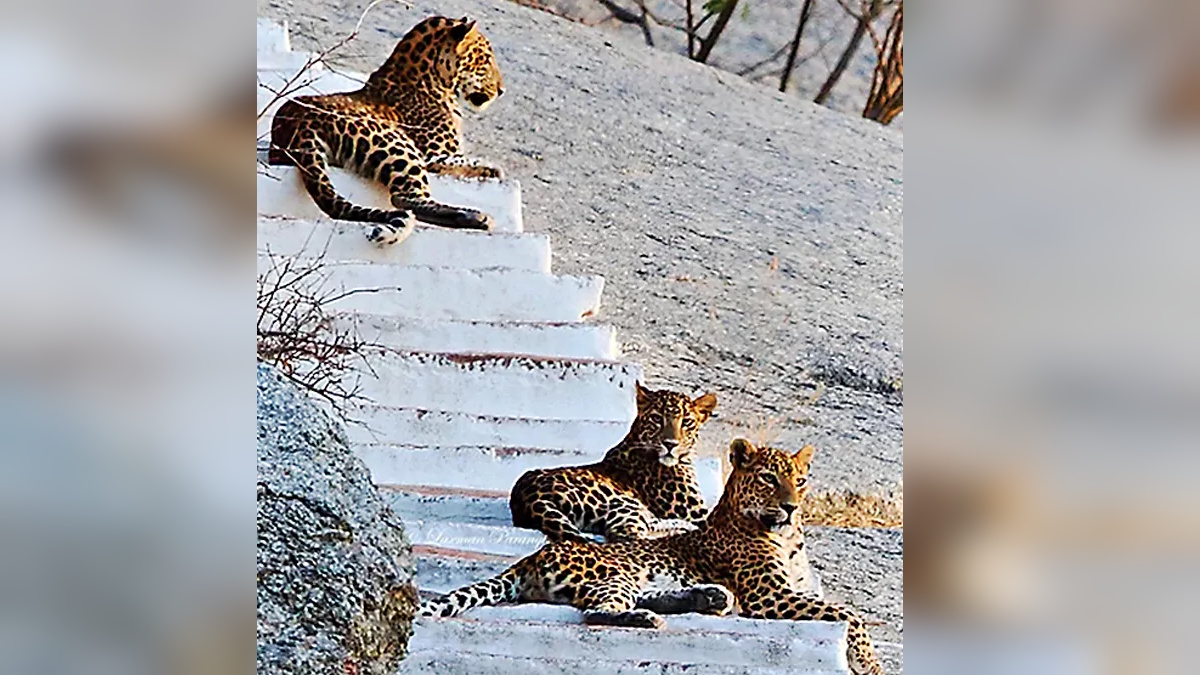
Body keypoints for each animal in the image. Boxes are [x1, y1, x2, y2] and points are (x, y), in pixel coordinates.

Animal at [268, 16, 505, 247]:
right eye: (486, 60)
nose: (501, 90)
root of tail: (297, 126)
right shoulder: (436, 154)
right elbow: (465, 161)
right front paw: (491, 167)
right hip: (398, 143)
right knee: (405, 198)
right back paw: (474, 216)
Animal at [422, 439, 884, 675]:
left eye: (800, 481)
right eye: (769, 479)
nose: (791, 507)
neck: (789, 536)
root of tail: (531, 558)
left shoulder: (795, 590)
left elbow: (842, 609)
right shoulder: (769, 596)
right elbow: (851, 613)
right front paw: (869, 663)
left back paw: (707, 598)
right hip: (618, 572)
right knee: (597, 610)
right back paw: (649, 617)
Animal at [509, 383, 718, 543]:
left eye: (686, 422)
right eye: (657, 418)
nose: (670, 444)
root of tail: (525, 496)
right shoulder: (696, 513)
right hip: (623, 501)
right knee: (626, 537)